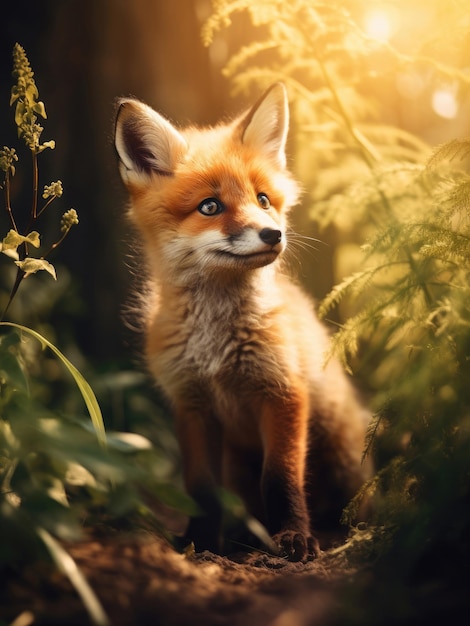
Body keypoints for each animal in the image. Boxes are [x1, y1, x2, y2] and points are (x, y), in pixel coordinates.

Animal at [114, 83, 370, 560]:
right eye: (210, 206)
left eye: (263, 199)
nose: (273, 234)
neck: (217, 346)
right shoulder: (192, 404)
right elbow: (200, 488)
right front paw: (198, 540)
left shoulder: (283, 391)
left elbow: (282, 477)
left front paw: (292, 537)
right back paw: (243, 536)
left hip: (342, 454)